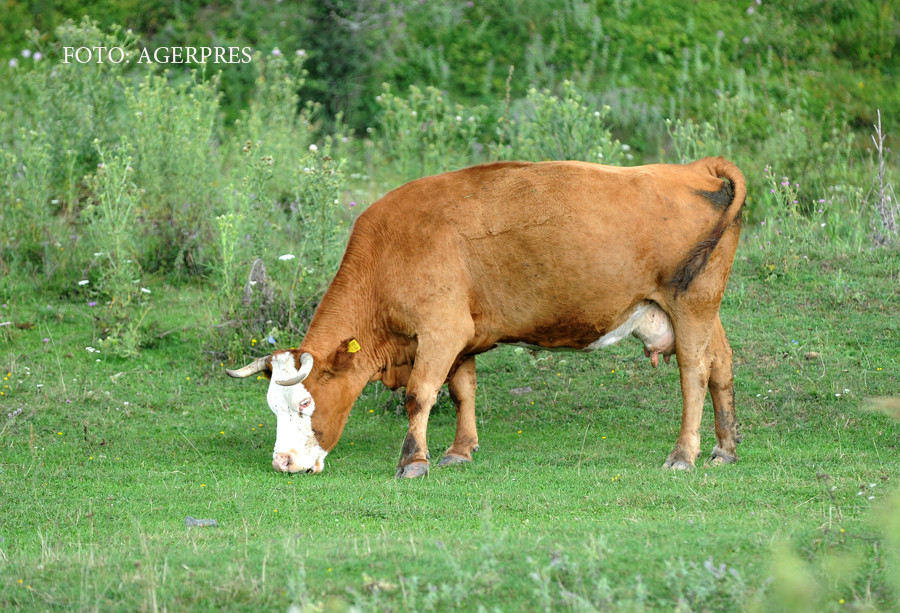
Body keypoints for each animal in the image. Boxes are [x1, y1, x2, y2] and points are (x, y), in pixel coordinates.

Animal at [226, 157, 746, 478]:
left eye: (306, 403)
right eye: (272, 406)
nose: (283, 462)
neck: (388, 253)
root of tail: (693, 168)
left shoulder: (440, 331)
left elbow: (420, 395)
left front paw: (414, 461)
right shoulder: (463, 337)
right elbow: (462, 392)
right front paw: (460, 451)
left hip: (691, 303)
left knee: (694, 373)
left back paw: (684, 454)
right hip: (703, 307)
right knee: (721, 365)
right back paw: (724, 448)